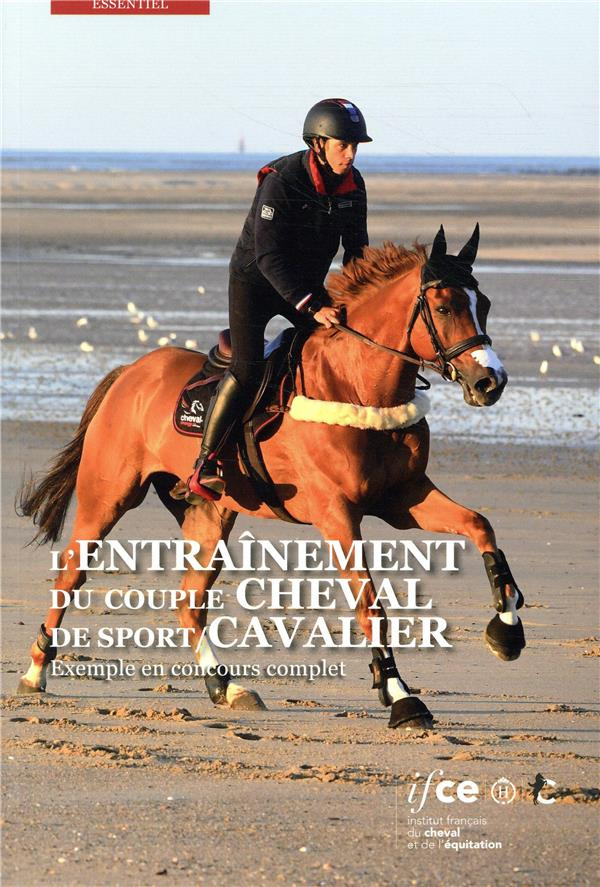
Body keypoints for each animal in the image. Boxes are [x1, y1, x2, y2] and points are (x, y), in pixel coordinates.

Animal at [16, 225, 526, 730]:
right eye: (444, 307)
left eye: (483, 304)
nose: (491, 382)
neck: (355, 384)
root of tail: (129, 373)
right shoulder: (337, 515)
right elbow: (371, 606)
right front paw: (401, 696)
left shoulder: (404, 499)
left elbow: (481, 526)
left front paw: (506, 630)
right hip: (109, 497)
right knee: (71, 576)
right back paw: (36, 670)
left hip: (210, 514)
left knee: (189, 602)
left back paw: (226, 687)